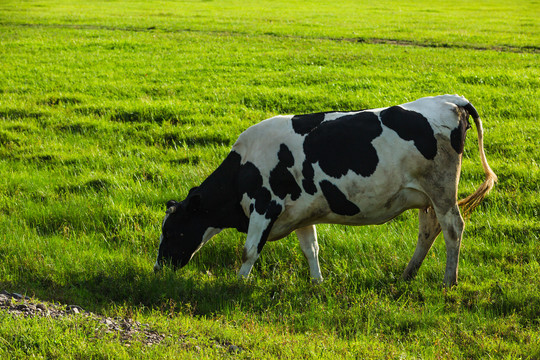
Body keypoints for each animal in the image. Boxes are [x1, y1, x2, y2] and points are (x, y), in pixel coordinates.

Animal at [153, 95, 498, 286]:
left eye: (171, 231)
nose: (158, 268)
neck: (243, 169)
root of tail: (450, 100)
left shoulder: (265, 206)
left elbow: (249, 250)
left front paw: (237, 284)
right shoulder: (301, 214)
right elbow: (311, 248)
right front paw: (317, 282)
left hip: (442, 190)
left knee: (453, 229)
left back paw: (449, 282)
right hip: (426, 196)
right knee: (428, 230)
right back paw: (407, 275)